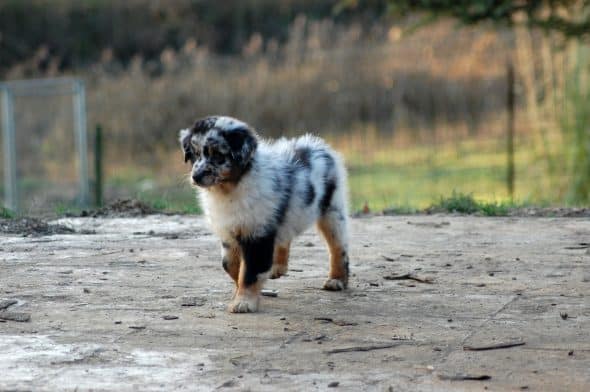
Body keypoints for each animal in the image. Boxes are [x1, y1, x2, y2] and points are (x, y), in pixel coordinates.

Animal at [178, 115, 350, 312]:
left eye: (218, 155)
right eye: (194, 154)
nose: (196, 177)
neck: (230, 188)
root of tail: (319, 144)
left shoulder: (257, 232)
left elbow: (250, 270)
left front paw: (244, 302)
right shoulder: (230, 231)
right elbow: (230, 265)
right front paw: (240, 291)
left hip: (332, 211)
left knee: (338, 247)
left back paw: (336, 280)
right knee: (285, 236)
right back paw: (277, 267)